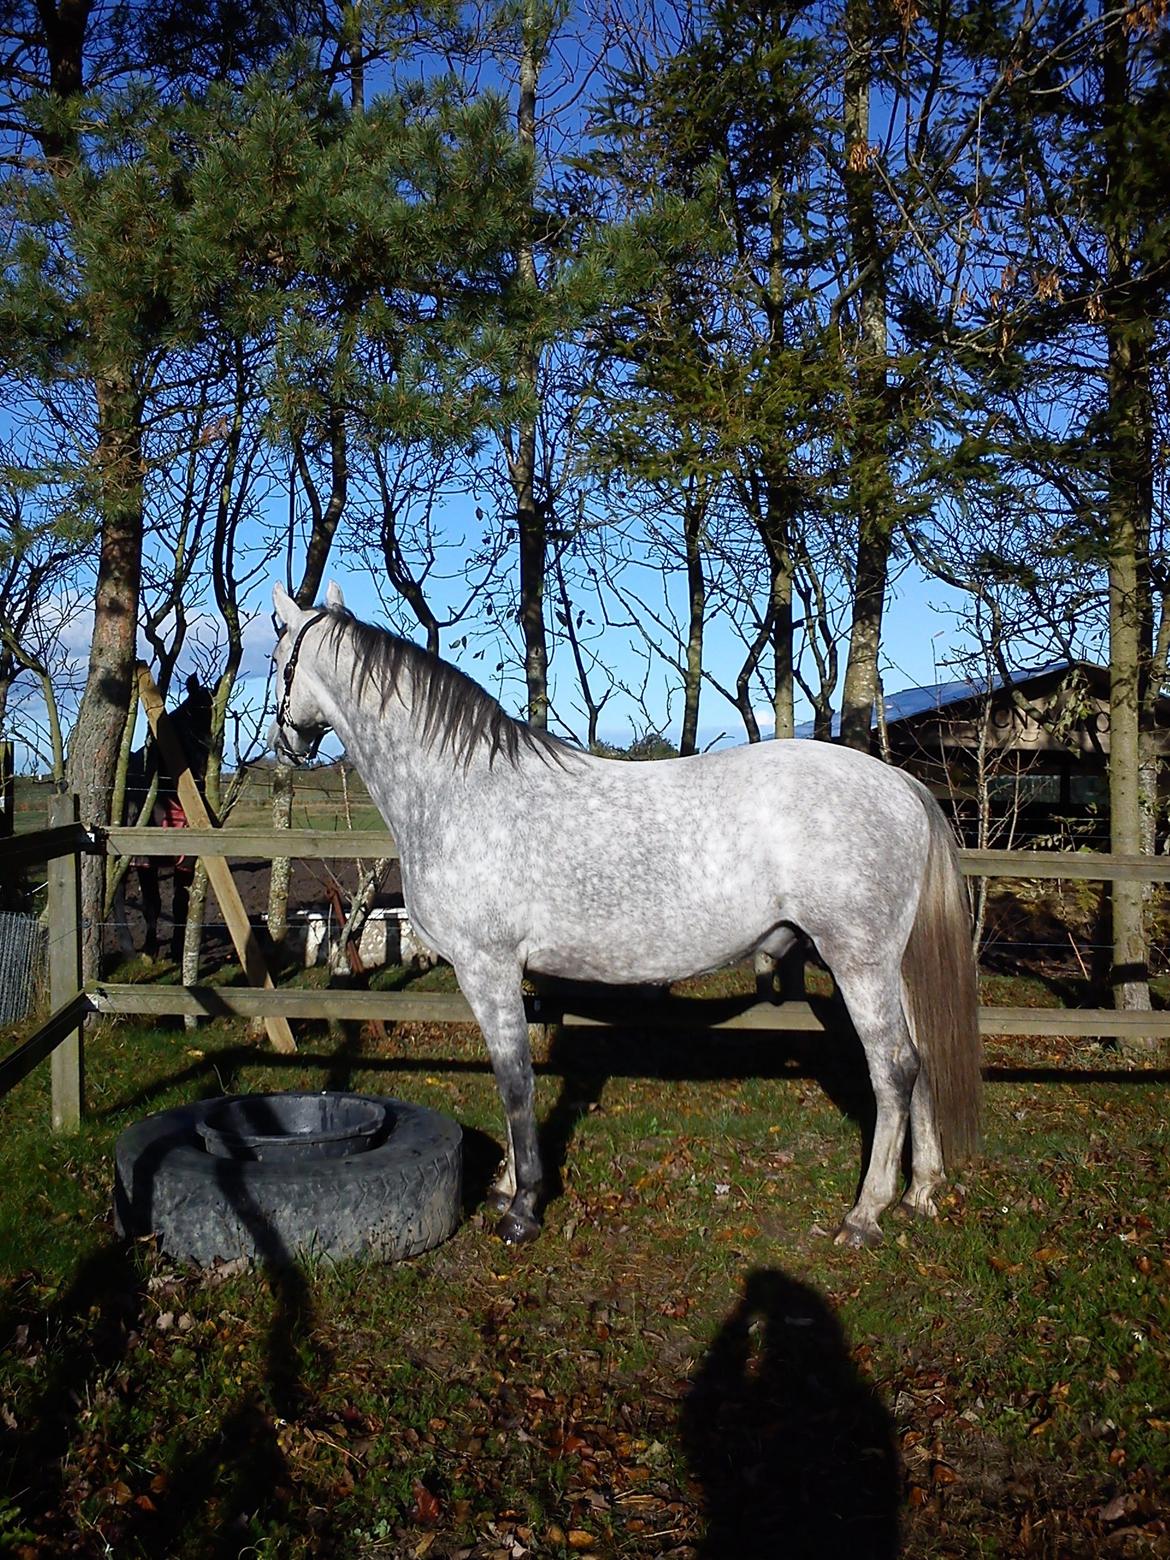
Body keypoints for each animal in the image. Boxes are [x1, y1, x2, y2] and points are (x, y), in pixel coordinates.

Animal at [116, 677, 215, 954]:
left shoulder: (186, 860)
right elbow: (153, 905)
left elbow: (179, 903)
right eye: (184, 731)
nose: (198, 782)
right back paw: (126, 943)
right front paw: (150, 950)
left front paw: (178, 948)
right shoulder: (144, 861)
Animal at [269, 586, 985, 1254]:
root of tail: (899, 783)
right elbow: (512, 1083)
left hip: (858, 962)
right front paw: (505, 1183)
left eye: (276, 656)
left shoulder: (486, 967)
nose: (283, 740)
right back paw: (921, 1190)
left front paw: (522, 1208)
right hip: (891, 966)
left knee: (893, 1068)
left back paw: (866, 1214)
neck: (459, 791)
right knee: (919, 1061)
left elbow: (515, 1082)